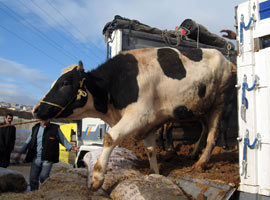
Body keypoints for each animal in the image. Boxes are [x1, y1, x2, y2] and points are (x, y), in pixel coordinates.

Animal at [32, 46, 236, 191]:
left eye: (64, 83)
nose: (36, 109)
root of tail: (227, 60)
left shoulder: (139, 115)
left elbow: (110, 137)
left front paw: (97, 178)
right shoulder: (150, 123)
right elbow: (151, 151)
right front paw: (155, 174)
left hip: (220, 102)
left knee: (213, 134)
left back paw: (201, 163)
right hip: (201, 108)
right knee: (204, 129)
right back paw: (194, 153)